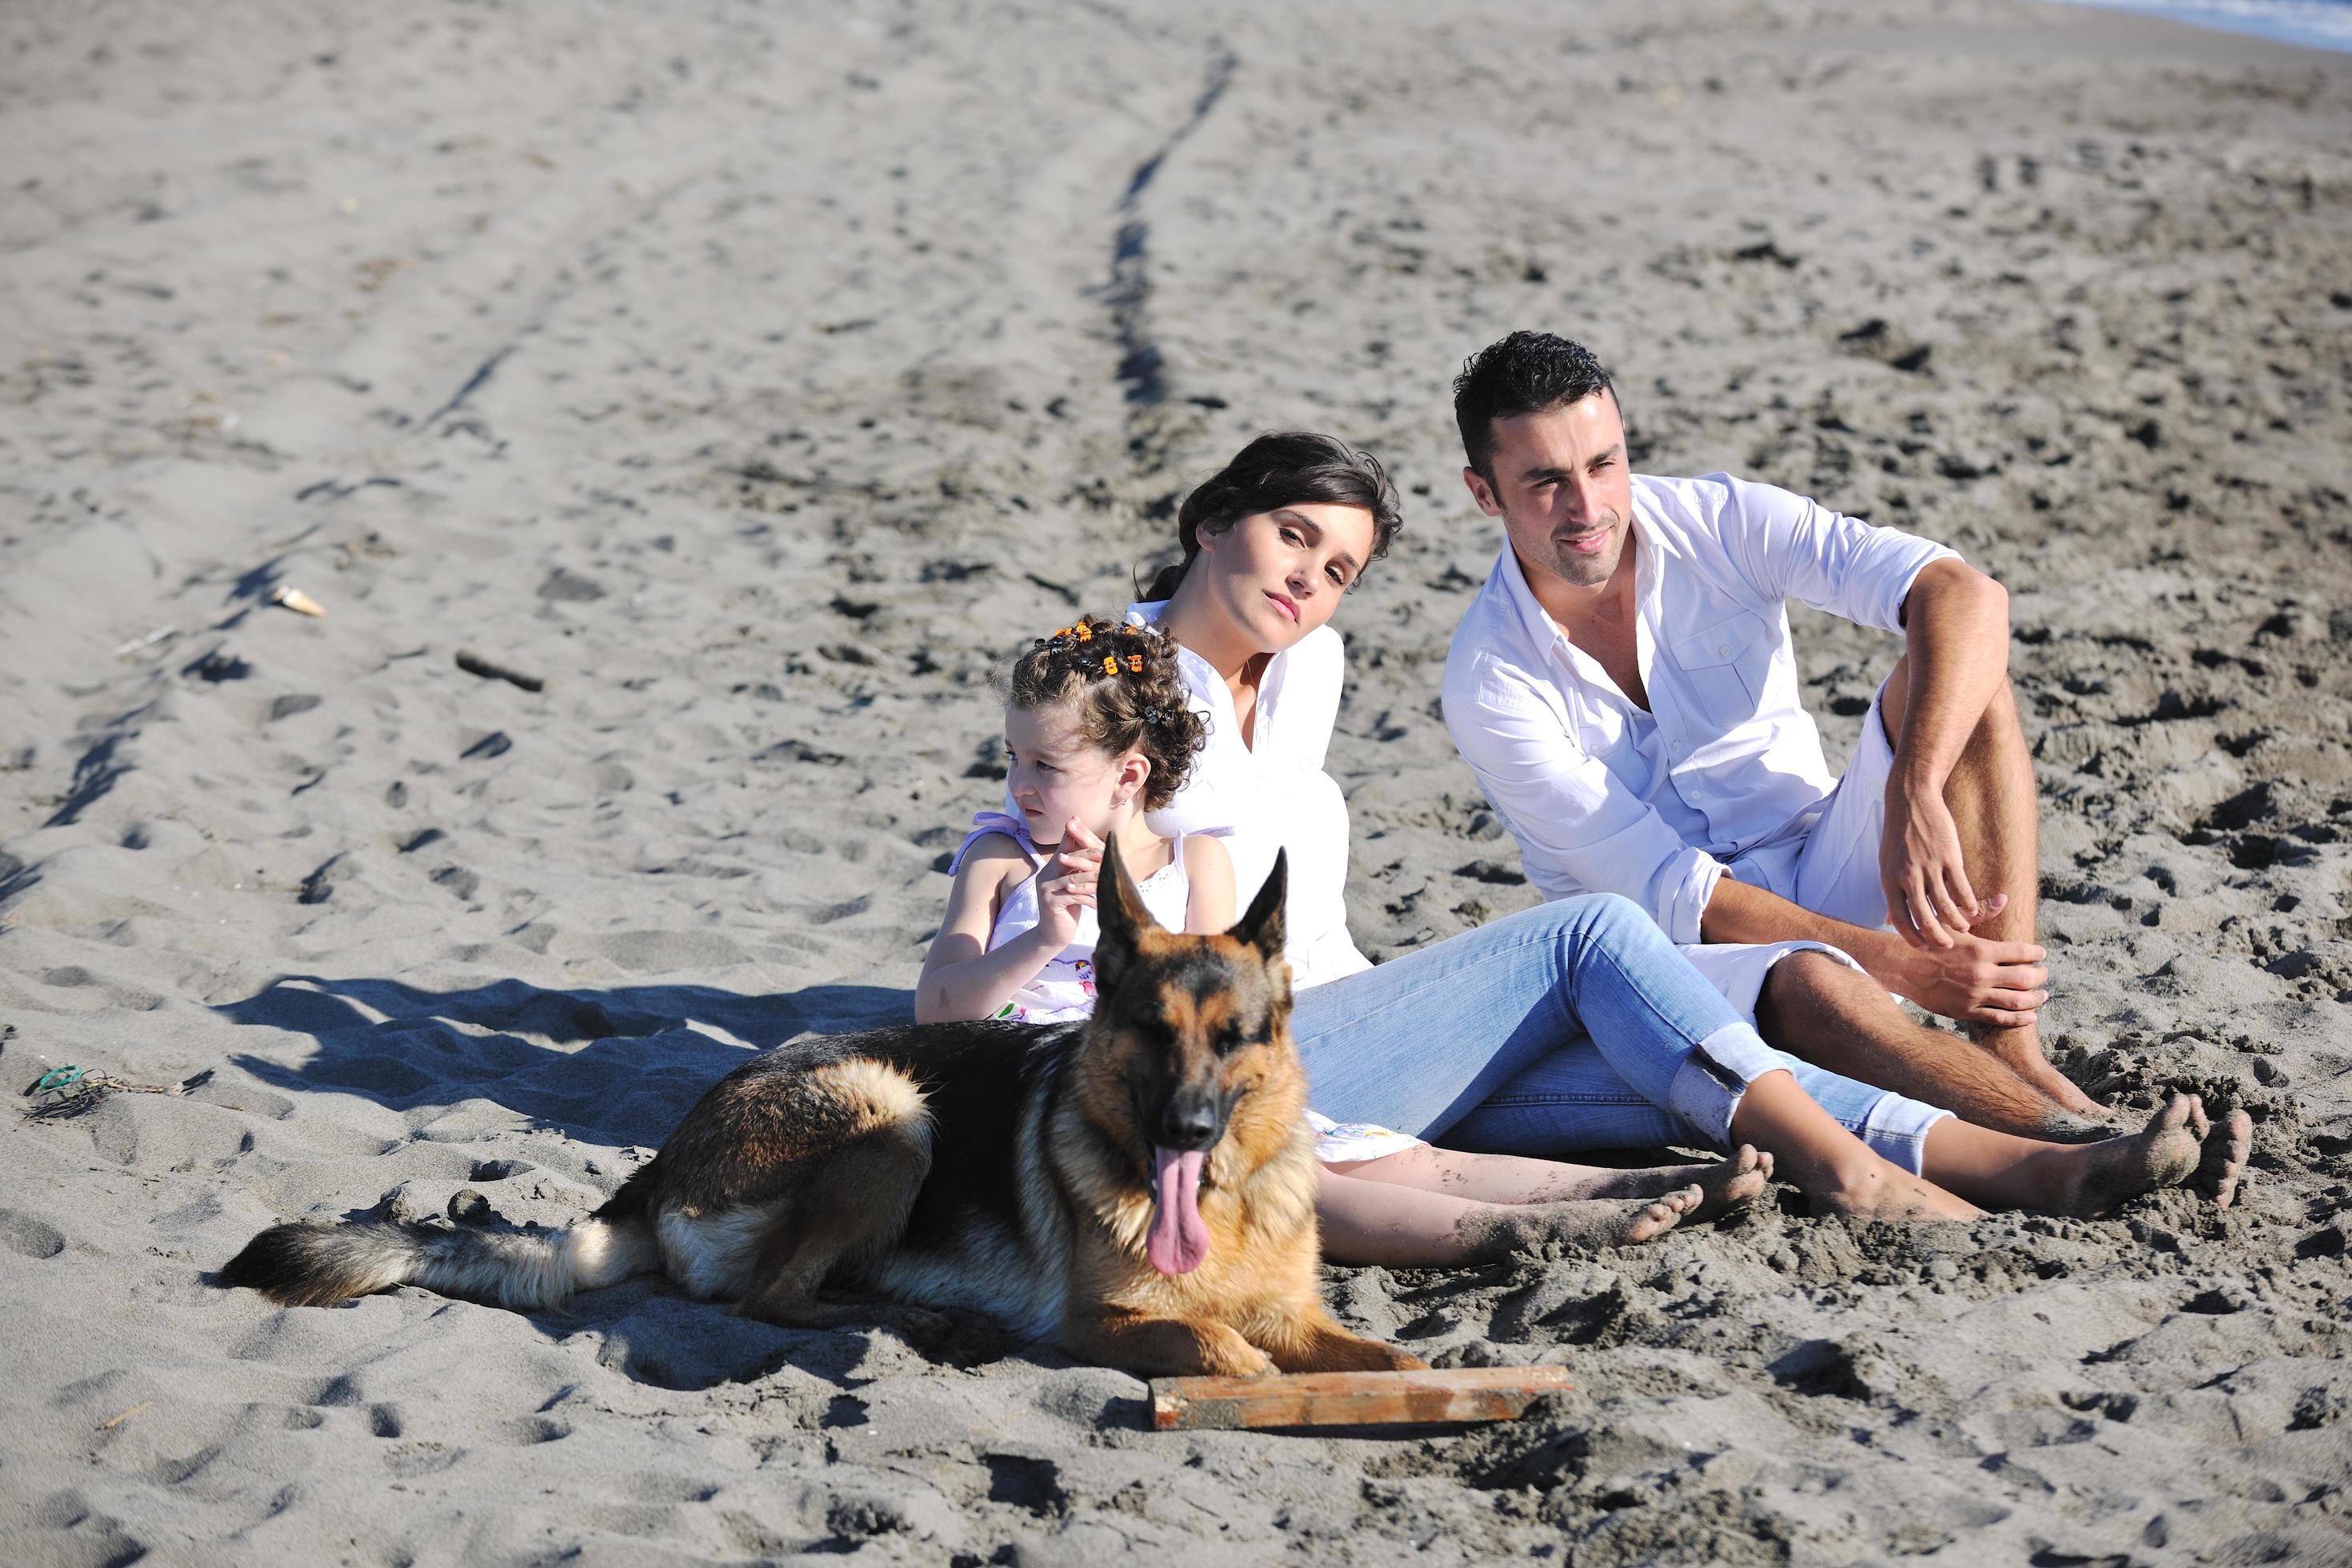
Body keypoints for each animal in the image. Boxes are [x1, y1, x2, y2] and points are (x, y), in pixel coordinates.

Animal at [224, 841, 1430, 1382]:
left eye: (1236, 1038)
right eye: (1148, 1029)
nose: (1186, 1132)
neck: (1217, 1206)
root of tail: (657, 1168)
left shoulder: (1299, 1315)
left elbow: (1385, 1361)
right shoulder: (1104, 1324)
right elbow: (1223, 1347)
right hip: (890, 1112)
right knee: (772, 1296)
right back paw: (925, 1323)